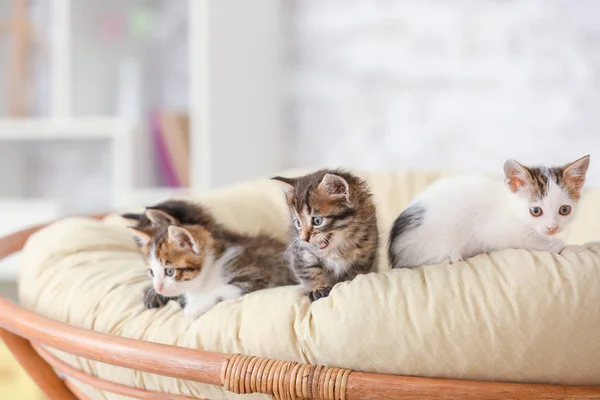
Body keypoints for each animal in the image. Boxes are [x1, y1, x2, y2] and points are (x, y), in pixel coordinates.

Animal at [127, 208, 296, 320]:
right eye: (151, 272)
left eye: (169, 271)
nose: (158, 288)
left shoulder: (263, 275)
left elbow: (223, 289)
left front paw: (195, 307)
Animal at [274, 168, 378, 300]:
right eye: (298, 223)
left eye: (317, 221)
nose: (304, 238)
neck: (337, 248)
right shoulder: (301, 251)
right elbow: (308, 270)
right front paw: (318, 288)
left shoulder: (366, 253)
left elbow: (355, 273)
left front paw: (347, 283)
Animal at [390, 154, 592, 268]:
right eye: (535, 211)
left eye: (564, 209)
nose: (552, 227)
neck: (511, 207)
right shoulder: (494, 233)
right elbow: (525, 239)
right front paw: (553, 244)